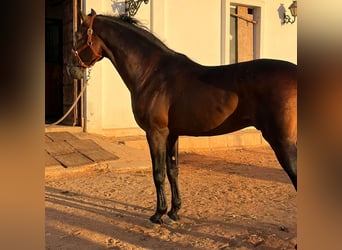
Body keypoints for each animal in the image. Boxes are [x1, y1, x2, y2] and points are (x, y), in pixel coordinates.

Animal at [67, 10, 296, 225]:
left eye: (78, 35)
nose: (71, 70)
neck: (152, 73)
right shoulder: (172, 134)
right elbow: (173, 170)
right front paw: (174, 211)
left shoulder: (156, 133)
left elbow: (158, 172)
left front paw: (158, 214)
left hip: (282, 141)